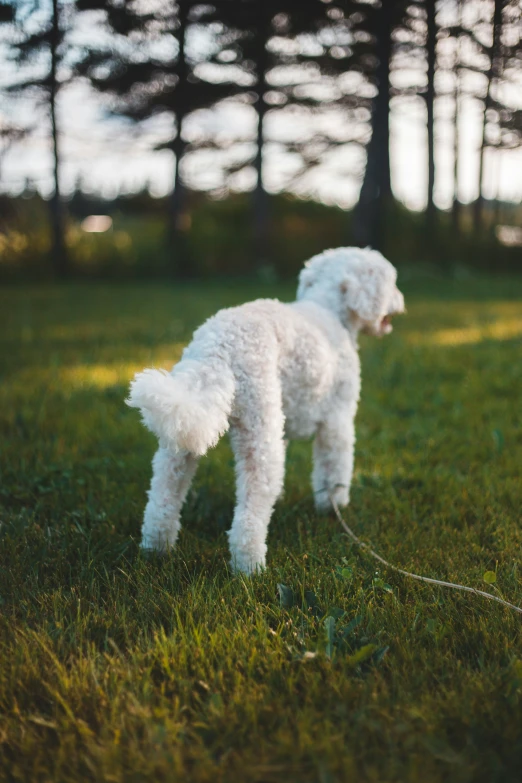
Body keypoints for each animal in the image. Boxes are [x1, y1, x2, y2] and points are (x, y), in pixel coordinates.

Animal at [126, 248, 402, 572]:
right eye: (392, 283)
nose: (401, 301)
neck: (329, 310)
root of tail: (218, 349)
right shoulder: (337, 419)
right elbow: (334, 466)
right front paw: (333, 506)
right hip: (258, 428)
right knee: (253, 499)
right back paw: (250, 566)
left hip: (183, 431)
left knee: (164, 493)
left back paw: (156, 549)